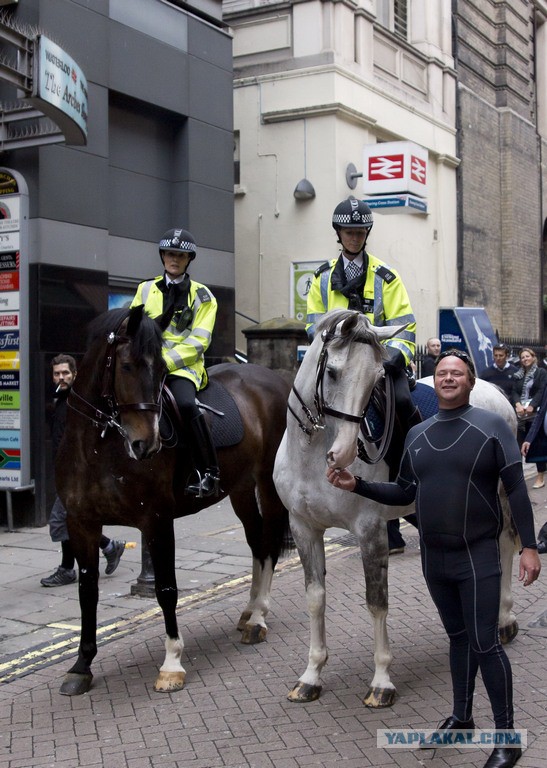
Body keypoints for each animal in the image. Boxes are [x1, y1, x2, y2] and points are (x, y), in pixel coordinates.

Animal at [56, 304, 292, 696]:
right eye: (126, 366)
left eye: (163, 370)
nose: (147, 444)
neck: (99, 447)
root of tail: (274, 379)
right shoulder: (81, 523)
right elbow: (87, 591)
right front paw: (81, 666)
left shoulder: (156, 520)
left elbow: (166, 589)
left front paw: (171, 664)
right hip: (241, 488)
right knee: (257, 542)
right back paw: (248, 612)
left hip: (268, 484)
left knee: (270, 541)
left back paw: (258, 617)